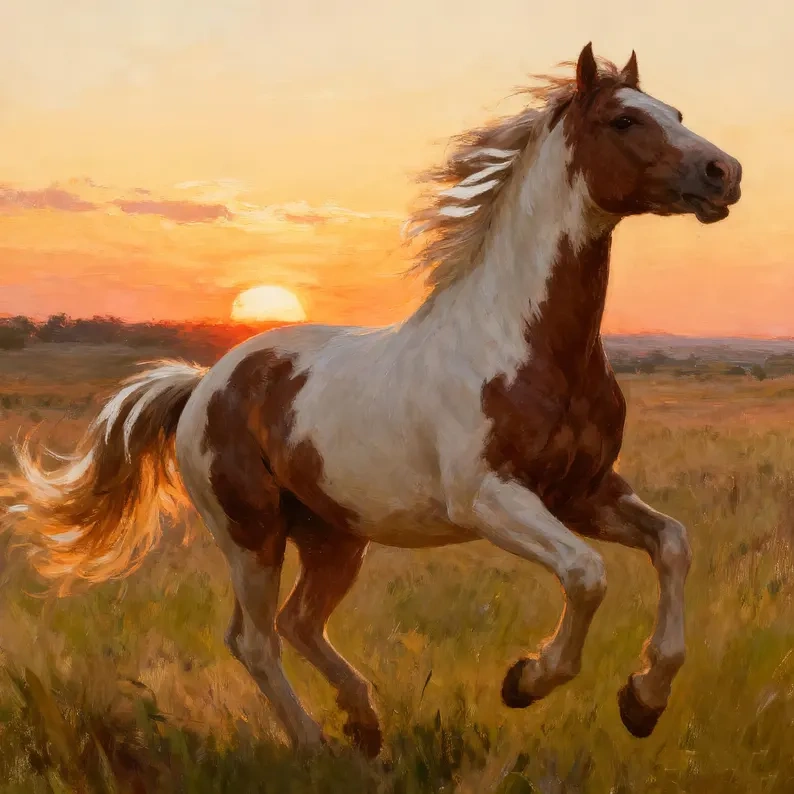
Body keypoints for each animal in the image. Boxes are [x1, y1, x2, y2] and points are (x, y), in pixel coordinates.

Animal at [10, 43, 742, 758]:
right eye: (624, 120)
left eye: (675, 111)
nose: (724, 172)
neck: (522, 342)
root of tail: (203, 385)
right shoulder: (490, 499)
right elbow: (587, 574)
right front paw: (526, 680)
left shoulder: (584, 492)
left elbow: (672, 544)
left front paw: (643, 701)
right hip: (251, 534)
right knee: (256, 639)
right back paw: (314, 745)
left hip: (333, 535)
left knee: (299, 623)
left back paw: (364, 725)